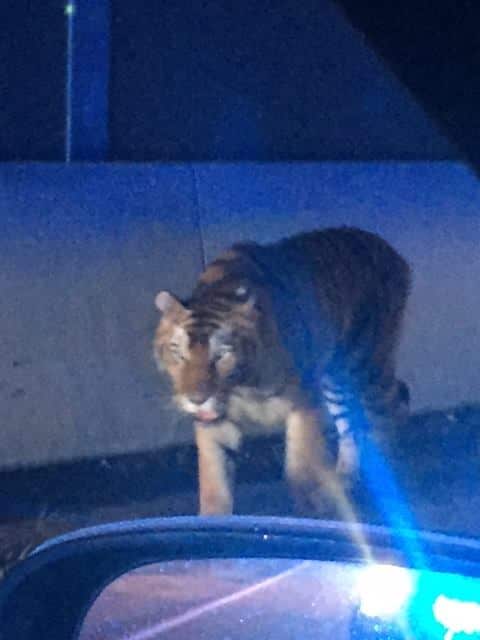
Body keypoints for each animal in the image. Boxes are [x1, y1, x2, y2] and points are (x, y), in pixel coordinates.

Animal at [153, 226, 411, 516]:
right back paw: (347, 478)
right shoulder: (213, 425)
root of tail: (389, 249)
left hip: (369, 367)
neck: (244, 386)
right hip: (336, 382)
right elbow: (214, 484)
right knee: (349, 426)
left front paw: (311, 505)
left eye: (221, 355)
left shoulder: (303, 401)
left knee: (387, 413)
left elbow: (300, 467)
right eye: (178, 353)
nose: (196, 399)